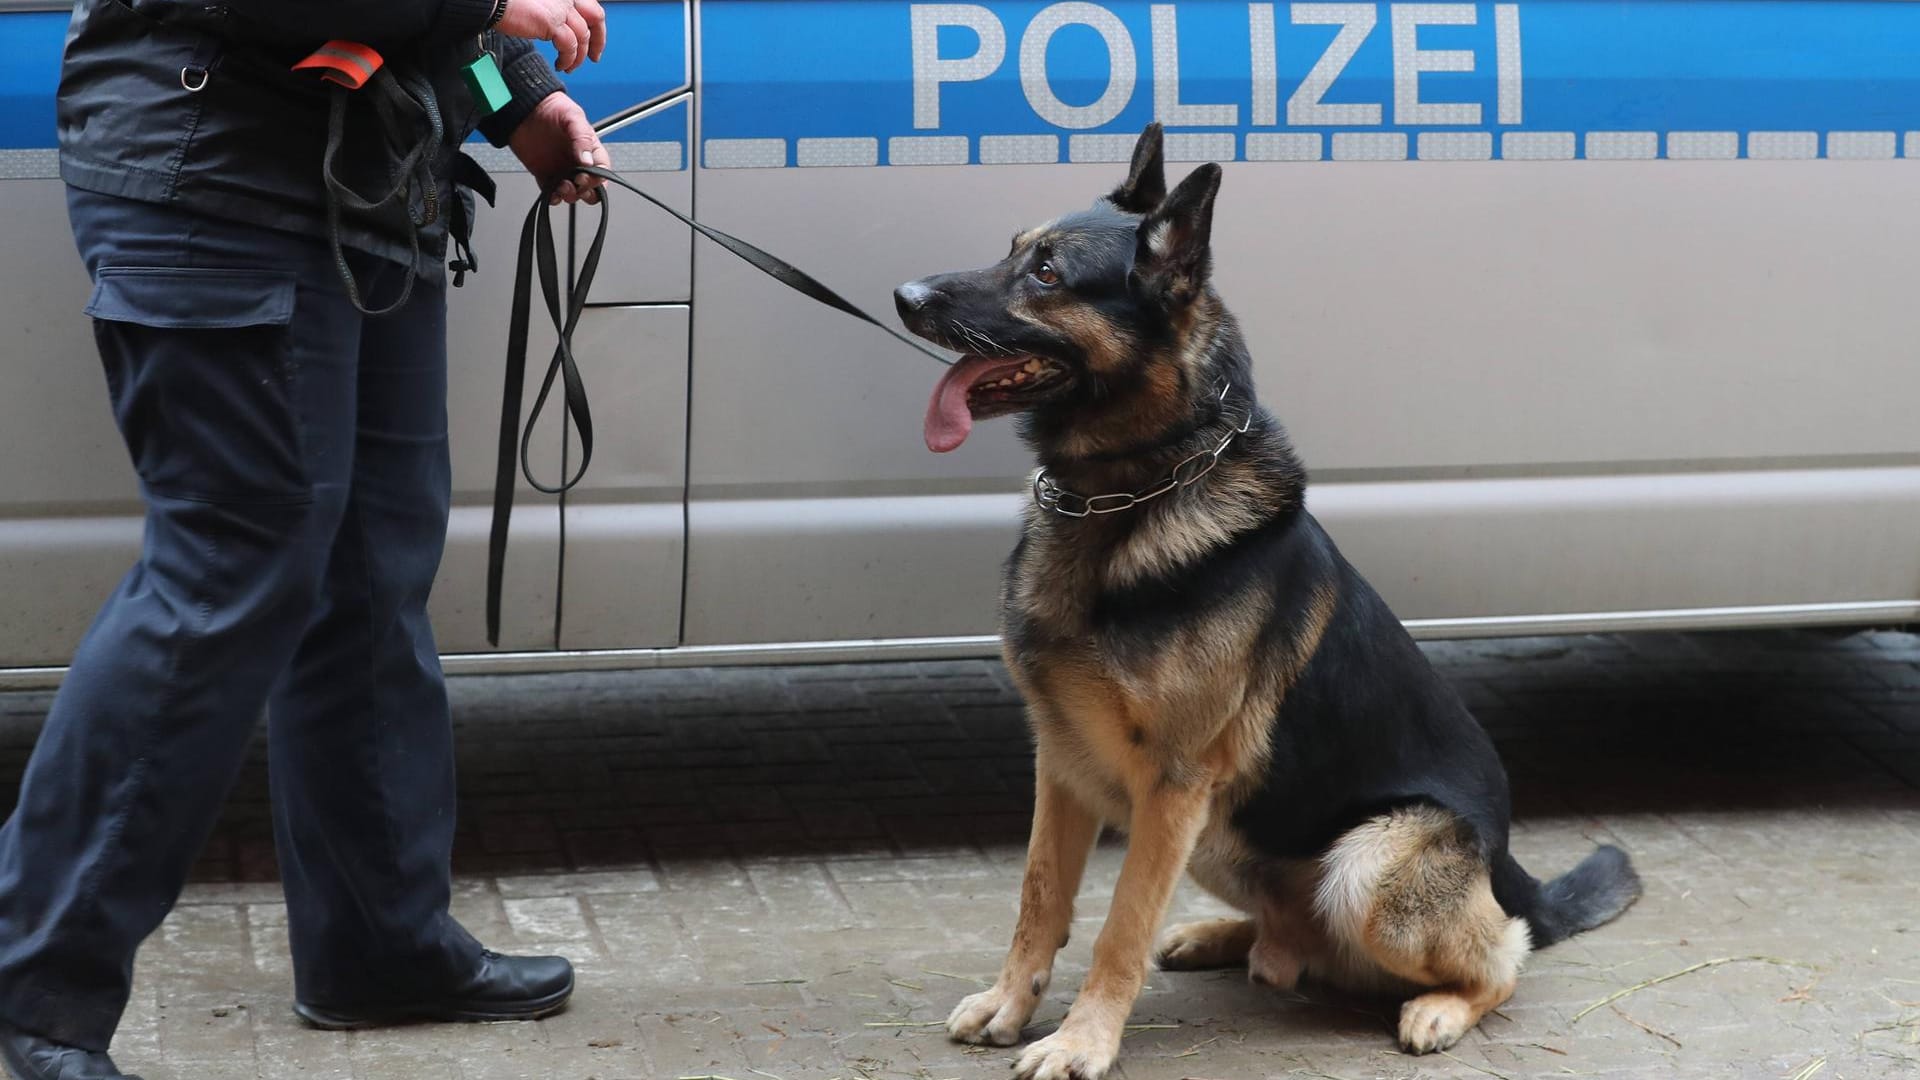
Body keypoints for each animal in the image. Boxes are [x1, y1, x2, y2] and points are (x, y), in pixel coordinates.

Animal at [890, 122, 1643, 1068]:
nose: (903, 296)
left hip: (1360, 861)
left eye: (1049, 273)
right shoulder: (1061, 764)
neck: (1133, 492)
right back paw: (1224, 936)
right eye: (1013, 250)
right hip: (1226, 830)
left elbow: (1119, 927)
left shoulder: (1171, 786)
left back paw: (1438, 1005)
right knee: (1298, 939)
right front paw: (1010, 1003)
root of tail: (1514, 874)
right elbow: (1039, 898)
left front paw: (1083, 1040)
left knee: (1504, 955)